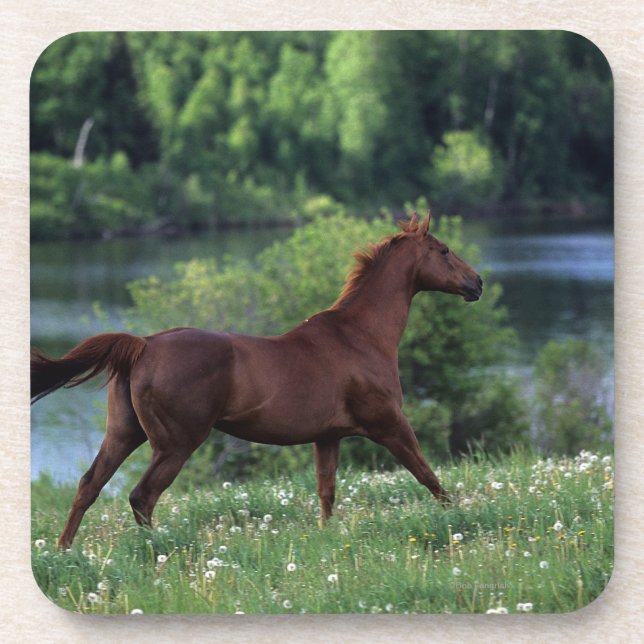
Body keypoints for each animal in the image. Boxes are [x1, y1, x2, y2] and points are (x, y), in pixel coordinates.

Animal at [31, 210, 482, 548]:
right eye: (444, 250)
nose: (477, 283)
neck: (360, 336)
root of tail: (143, 345)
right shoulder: (389, 424)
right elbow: (429, 476)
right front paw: (460, 520)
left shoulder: (328, 437)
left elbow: (327, 493)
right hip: (176, 443)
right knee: (142, 496)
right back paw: (157, 551)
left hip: (125, 433)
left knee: (89, 485)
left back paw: (65, 550)